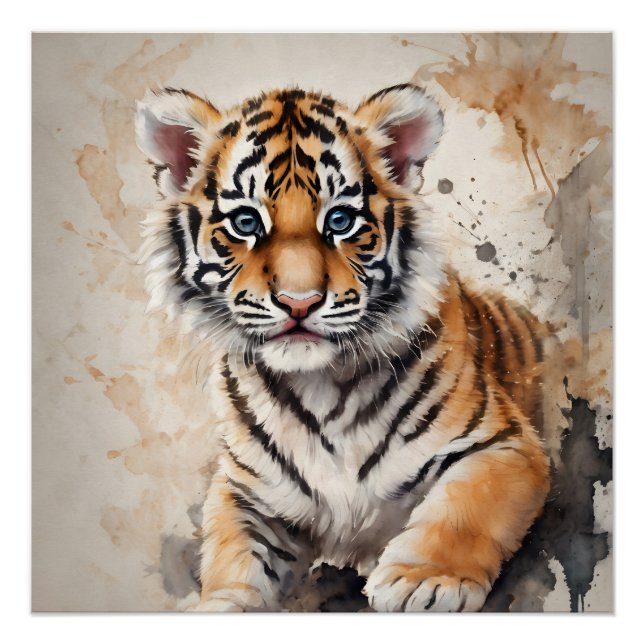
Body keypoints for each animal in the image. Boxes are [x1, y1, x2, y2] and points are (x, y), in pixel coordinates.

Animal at [134, 84, 551, 612]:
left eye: (340, 220)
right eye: (246, 222)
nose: (299, 302)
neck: (321, 387)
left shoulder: (504, 444)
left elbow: (464, 508)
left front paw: (425, 581)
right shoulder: (245, 490)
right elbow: (234, 552)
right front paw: (222, 604)